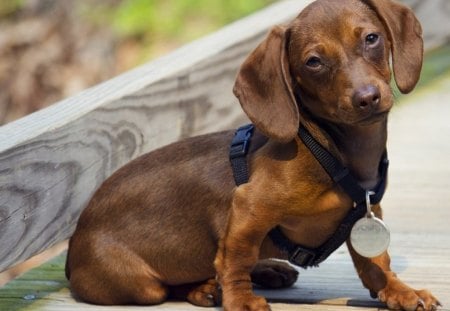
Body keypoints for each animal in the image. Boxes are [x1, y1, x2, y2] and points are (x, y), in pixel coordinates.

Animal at [66, 0, 440, 310]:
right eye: (314, 62)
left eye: (371, 38)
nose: (367, 98)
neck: (335, 149)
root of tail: (73, 248)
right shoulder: (250, 207)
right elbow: (236, 259)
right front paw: (240, 300)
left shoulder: (367, 211)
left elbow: (374, 262)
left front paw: (399, 291)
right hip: (141, 285)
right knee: (166, 287)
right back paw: (205, 288)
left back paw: (267, 270)